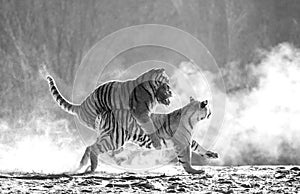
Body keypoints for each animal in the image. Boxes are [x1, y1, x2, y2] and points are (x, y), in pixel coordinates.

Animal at [78, 97, 217, 174]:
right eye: (209, 108)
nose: (211, 112)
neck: (193, 119)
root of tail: (105, 112)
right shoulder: (182, 142)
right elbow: (186, 159)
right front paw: (194, 171)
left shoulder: (188, 140)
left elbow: (198, 146)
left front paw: (211, 154)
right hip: (115, 139)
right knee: (94, 148)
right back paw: (92, 168)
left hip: (105, 136)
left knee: (89, 147)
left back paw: (82, 165)